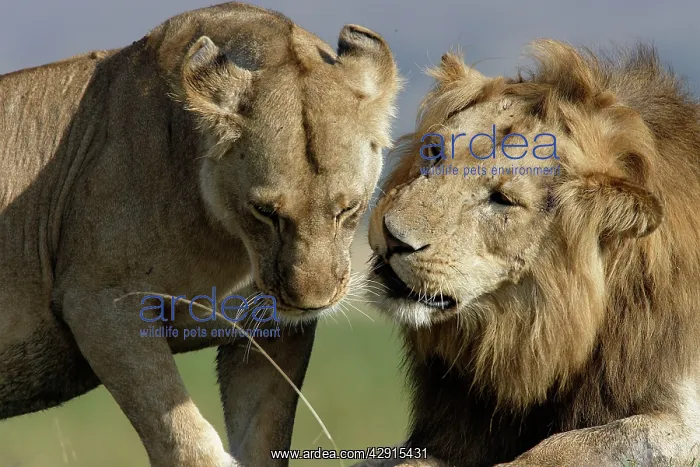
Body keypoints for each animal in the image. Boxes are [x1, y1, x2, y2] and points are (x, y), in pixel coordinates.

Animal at [0, 3, 399, 466]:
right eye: (265, 212)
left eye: (349, 209)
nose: (310, 303)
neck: (231, 244)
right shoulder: (98, 303)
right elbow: (187, 442)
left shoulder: (271, 335)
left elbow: (263, 438)